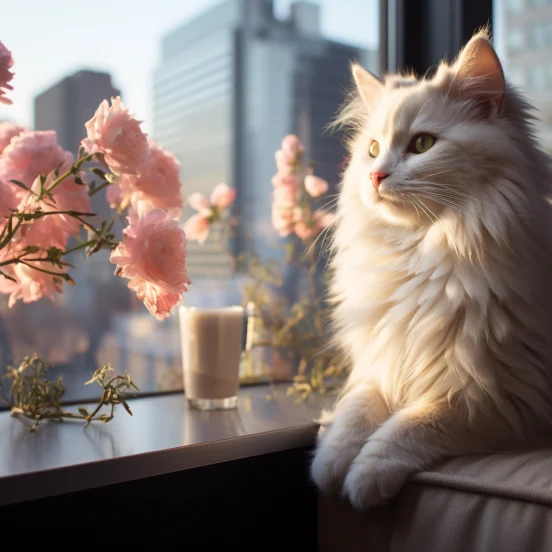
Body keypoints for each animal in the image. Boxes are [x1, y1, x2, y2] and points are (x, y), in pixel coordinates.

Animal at [310, 31, 552, 508]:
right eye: (372, 150)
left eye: (422, 144)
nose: (375, 176)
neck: (420, 255)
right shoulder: (380, 362)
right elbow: (354, 412)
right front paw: (329, 465)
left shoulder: (504, 398)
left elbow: (412, 425)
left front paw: (364, 479)